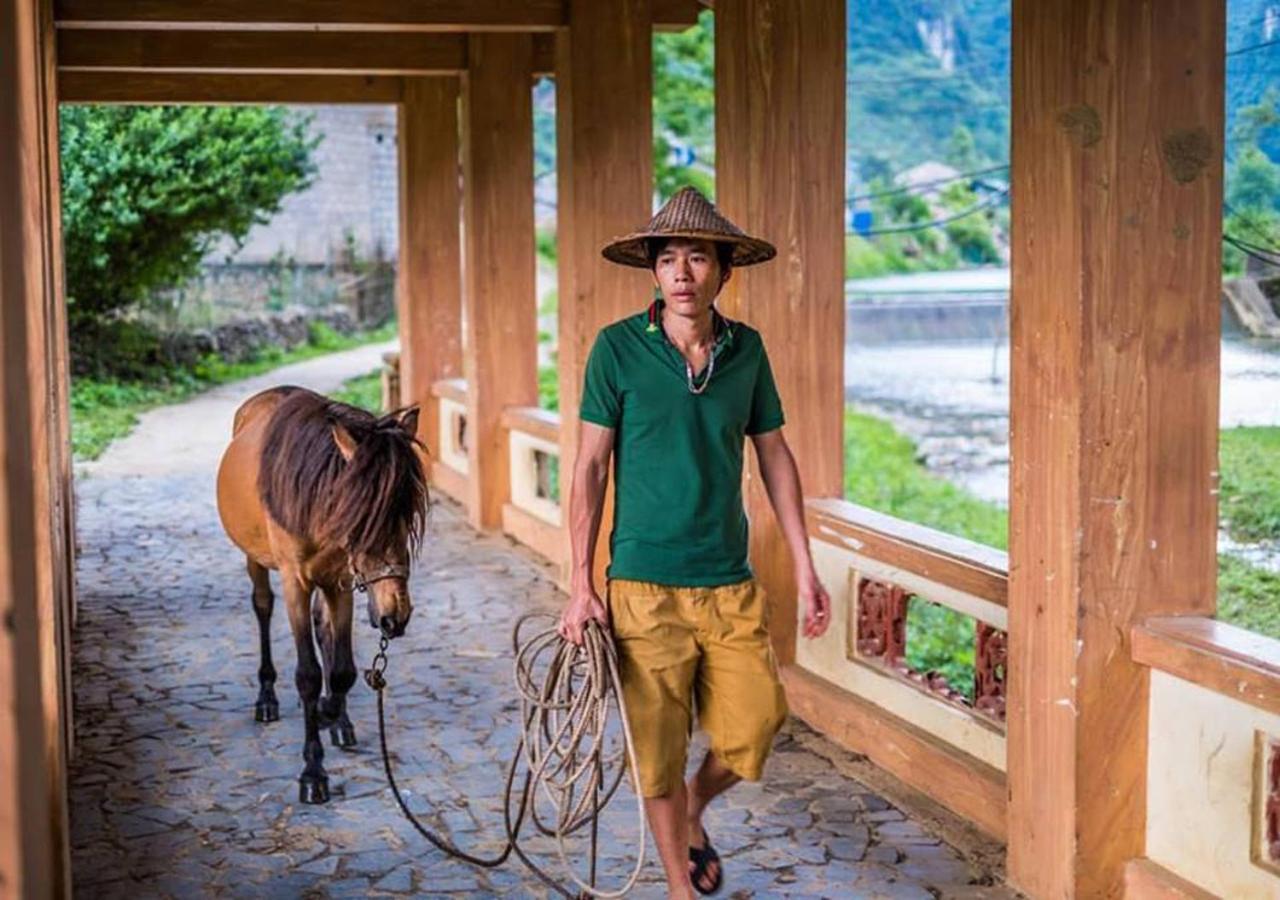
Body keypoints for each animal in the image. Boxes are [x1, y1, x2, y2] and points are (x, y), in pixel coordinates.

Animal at [212, 384, 427, 803]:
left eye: (407, 515)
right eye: (364, 522)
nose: (394, 616)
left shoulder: (340, 579)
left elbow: (342, 670)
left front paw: (331, 712)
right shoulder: (295, 581)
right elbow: (308, 674)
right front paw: (313, 772)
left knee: (324, 628)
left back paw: (338, 720)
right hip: (255, 559)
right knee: (262, 607)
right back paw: (267, 698)